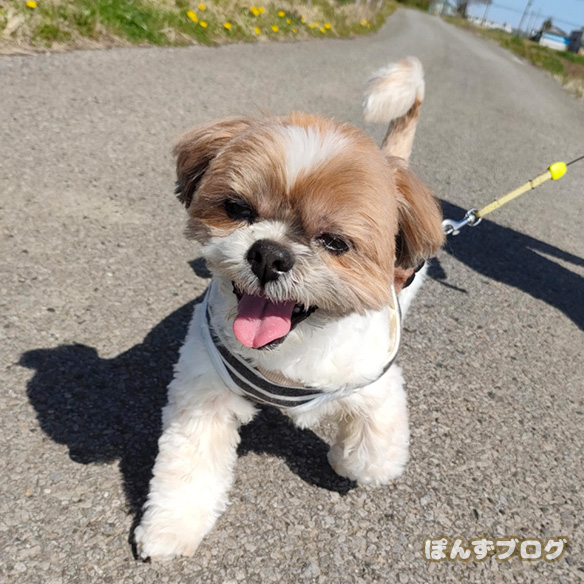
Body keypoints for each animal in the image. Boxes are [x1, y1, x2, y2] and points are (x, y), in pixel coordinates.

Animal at [134, 57, 445, 559]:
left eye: (334, 242)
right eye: (238, 208)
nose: (269, 254)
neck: (290, 352)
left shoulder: (376, 386)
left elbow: (373, 456)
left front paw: (341, 457)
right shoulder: (205, 394)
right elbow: (187, 465)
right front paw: (170, 527)